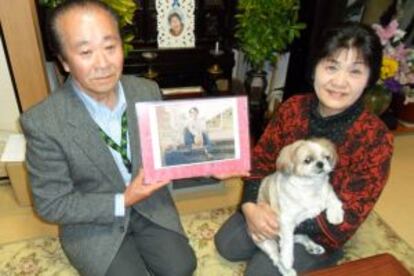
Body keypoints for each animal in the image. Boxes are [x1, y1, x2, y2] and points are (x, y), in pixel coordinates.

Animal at [254, 138, 344, 276]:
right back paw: (286, 270)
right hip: (267, 242)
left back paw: (313, 247)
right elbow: (287, 243)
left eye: (327, 157)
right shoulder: (286, 220)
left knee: (301, 237)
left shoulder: (328, 192)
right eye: (307, 160)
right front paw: (287, 259)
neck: (311, 186)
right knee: (277, 257)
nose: (320, 163)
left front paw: (335, 216)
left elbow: (334, 201)